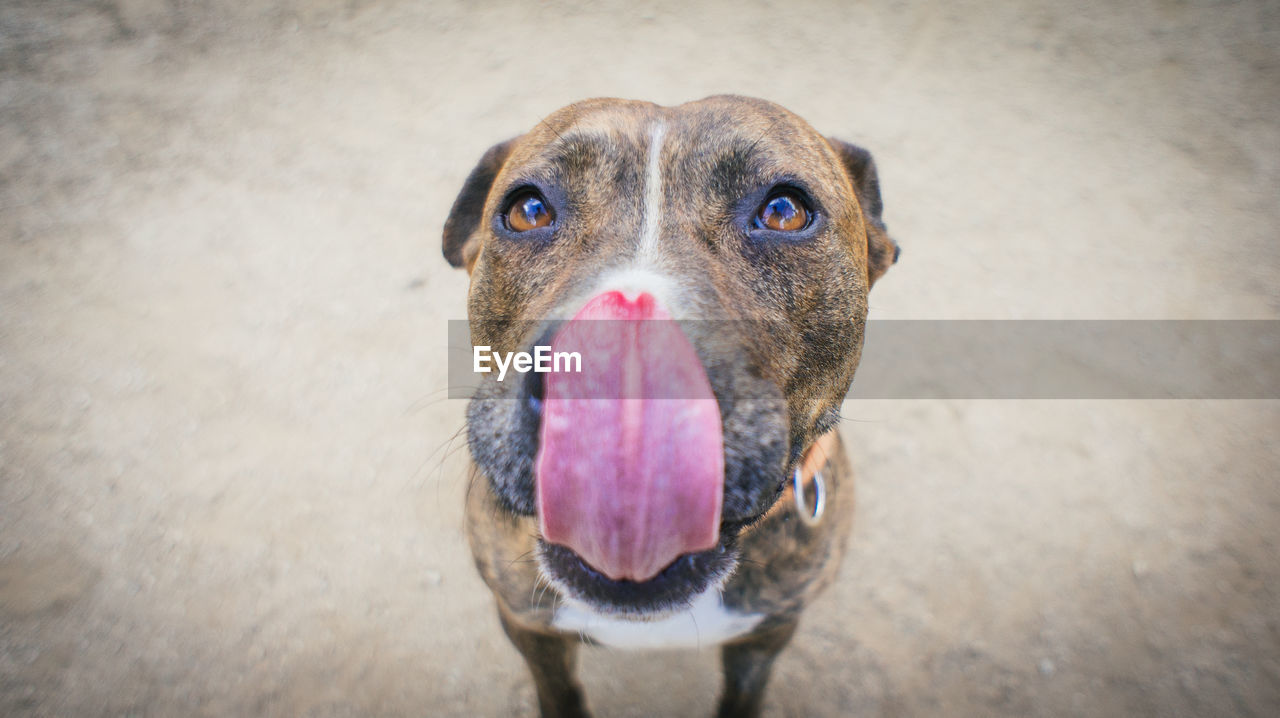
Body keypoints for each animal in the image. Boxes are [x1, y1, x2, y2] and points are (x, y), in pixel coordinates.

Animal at [445, 96, 896, 716]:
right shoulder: (527, 625)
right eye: (528, 210)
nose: (622, 376)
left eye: (784, 211)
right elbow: (559, 691)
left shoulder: (769, 632)